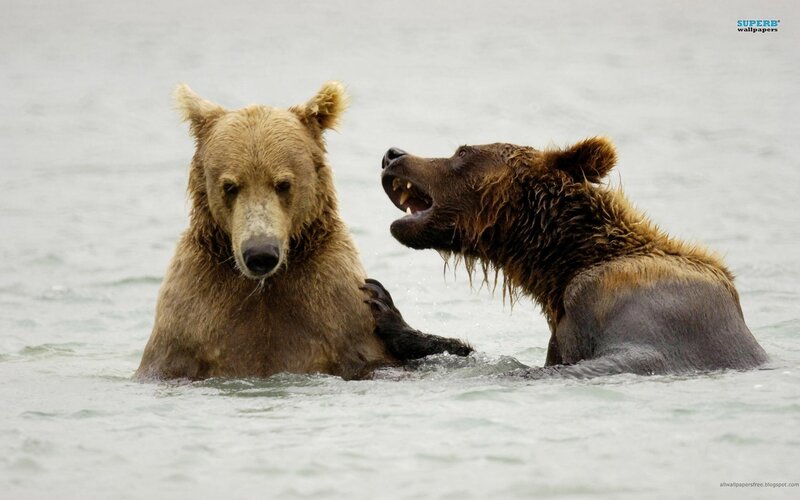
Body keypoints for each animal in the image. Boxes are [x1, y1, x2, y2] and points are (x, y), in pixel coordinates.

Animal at [135, 82, 471, 380]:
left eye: (282, 183)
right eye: (229, 186)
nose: (260, 253)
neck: (264, 286)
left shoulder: (335, 308)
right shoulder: (191, 320)